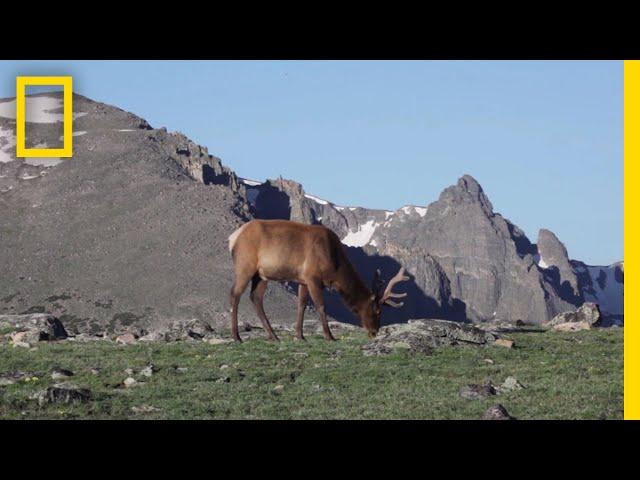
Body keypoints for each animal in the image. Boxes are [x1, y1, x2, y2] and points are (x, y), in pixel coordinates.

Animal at [228, 219, 408, 344]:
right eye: (377, 311)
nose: (374, 332)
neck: (335, 267)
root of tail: (233, 238)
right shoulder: (313, 277)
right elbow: (321, 305)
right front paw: (329, 336)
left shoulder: (303, 279)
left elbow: (301, 304)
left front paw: (300, 336)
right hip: (245, 265)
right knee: (235, 294)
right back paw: (237, 336)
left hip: (262, 275)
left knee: (256, 297)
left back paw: (273, 336)